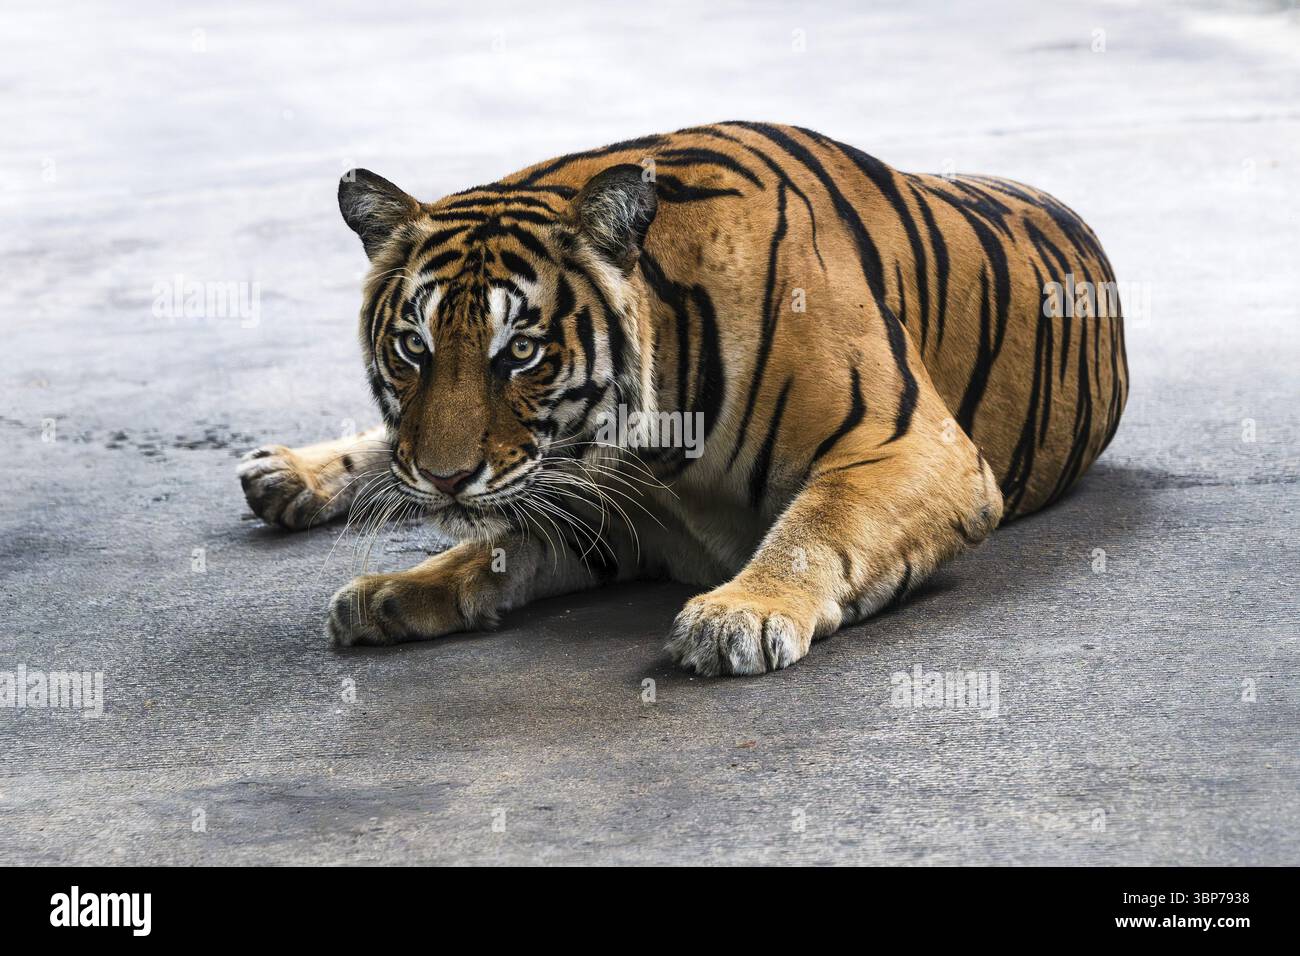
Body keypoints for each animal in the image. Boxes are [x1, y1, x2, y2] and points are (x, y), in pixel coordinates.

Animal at [238, 122, 1128, 676]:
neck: (655, 447)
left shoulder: (913, 446)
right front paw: (395, 589)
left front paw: (741, 615)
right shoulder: (607, 509)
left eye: (520, 352)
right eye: (414, 349)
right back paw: (285, 474)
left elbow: (820, 522)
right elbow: (493, 546)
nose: (447, 480)